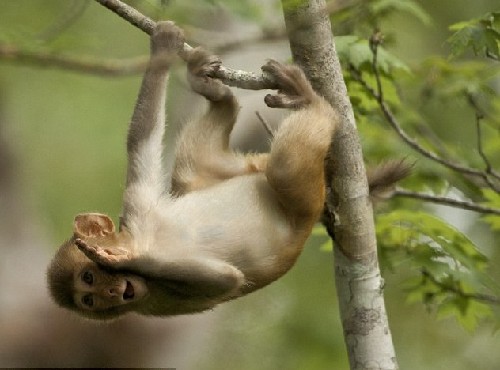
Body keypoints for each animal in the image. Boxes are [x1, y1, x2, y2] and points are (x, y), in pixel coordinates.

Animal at [46, 21, 410, 320]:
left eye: (89, 277)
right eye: (90, 299)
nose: (110, 292)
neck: (137, 242)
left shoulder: (137, 213)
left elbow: (141, 135)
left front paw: (162, 46)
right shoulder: (154, 292)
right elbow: (225, 280)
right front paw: (122, 261)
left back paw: (237, 96)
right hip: (296, 195)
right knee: (281, 168)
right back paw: (309, 106)